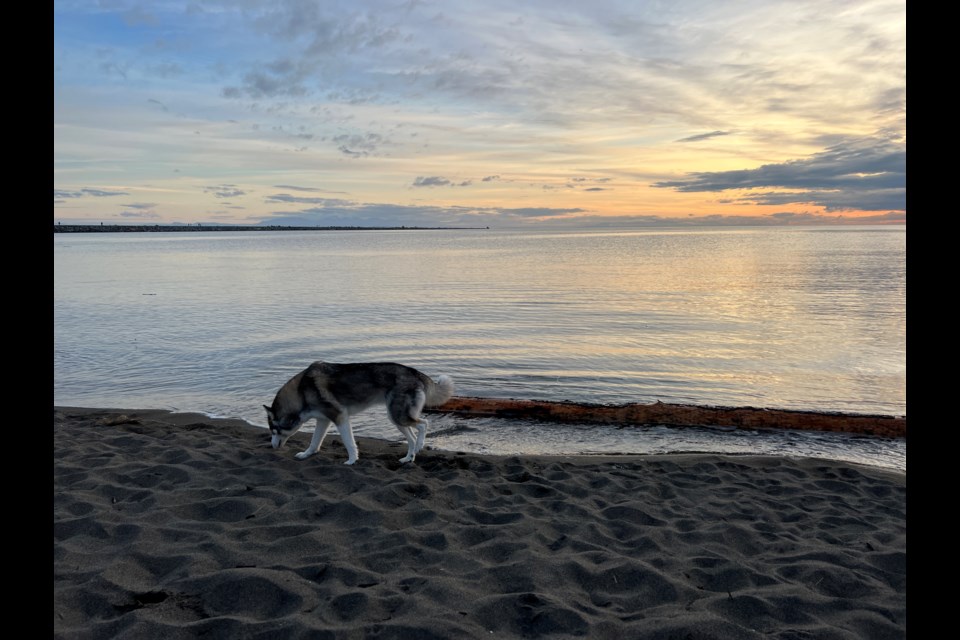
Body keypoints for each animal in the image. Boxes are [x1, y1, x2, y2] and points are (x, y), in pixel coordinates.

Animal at [264, 360, 456, 464]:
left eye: (274, 430)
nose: (271, 446)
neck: (300, 392)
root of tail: (416, 372)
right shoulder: (323, 420)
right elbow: (314, 442)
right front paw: (306, 454)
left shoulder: (340, 417)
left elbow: (349, 442)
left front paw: (351, 460)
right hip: (396, 418)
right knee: (412, 437)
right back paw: (408, 458)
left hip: (399, 416)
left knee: (423, 424)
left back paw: (420, 445)